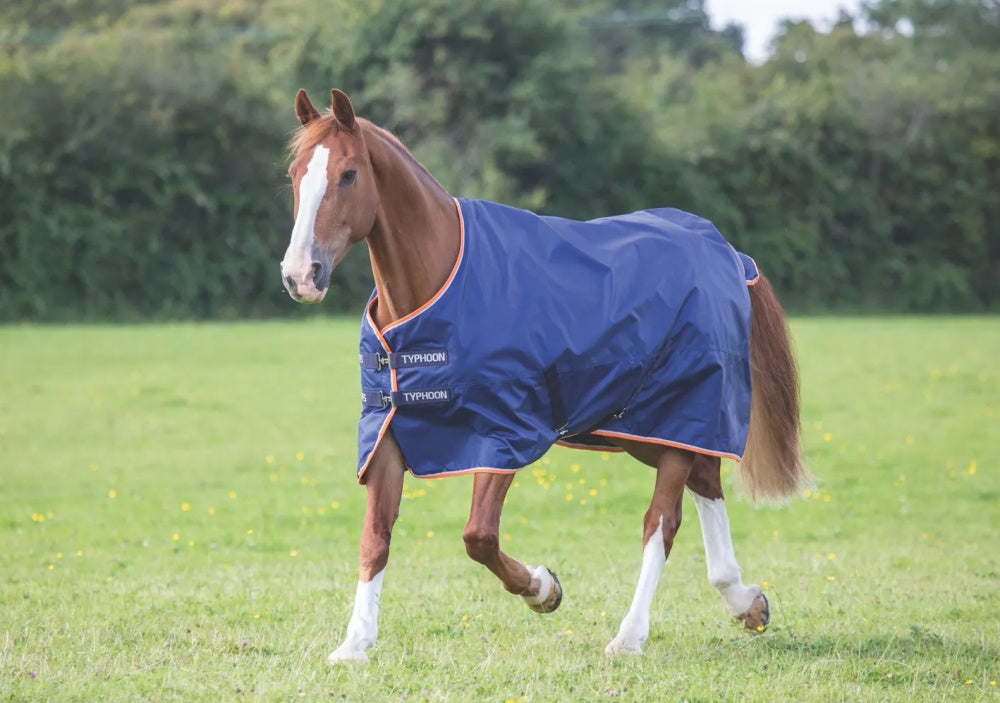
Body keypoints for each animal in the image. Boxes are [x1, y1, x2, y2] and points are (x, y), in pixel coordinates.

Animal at [280, 88, 806, 664]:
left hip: (677, 414)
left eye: (349, 174)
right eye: (295, 174)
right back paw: (745, 601)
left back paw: (630, 636)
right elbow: (375, 538)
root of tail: (727, 253)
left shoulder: (503, 432)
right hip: (645, 427)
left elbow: (478, 536)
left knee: (661, 522)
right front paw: (354, 644)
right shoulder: (389, 428)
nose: (300, 275)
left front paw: (543, 589)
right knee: (706, 480)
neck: (442, 285)